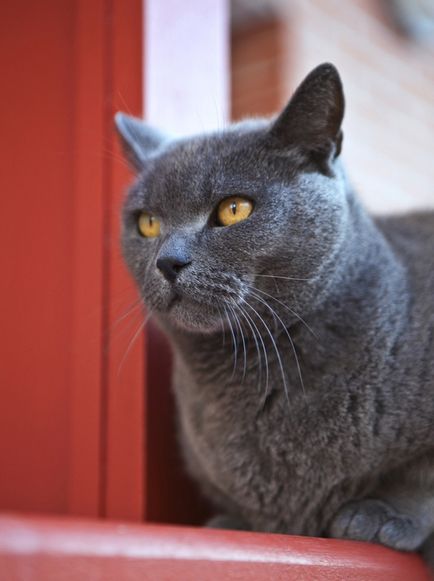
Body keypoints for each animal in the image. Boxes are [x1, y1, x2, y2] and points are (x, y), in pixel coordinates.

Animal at [115, 63, 434, 568]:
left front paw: (380, 514)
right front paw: (231, 523)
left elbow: (421, 478)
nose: (168, 261)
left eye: (233, 209)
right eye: (147, 223)